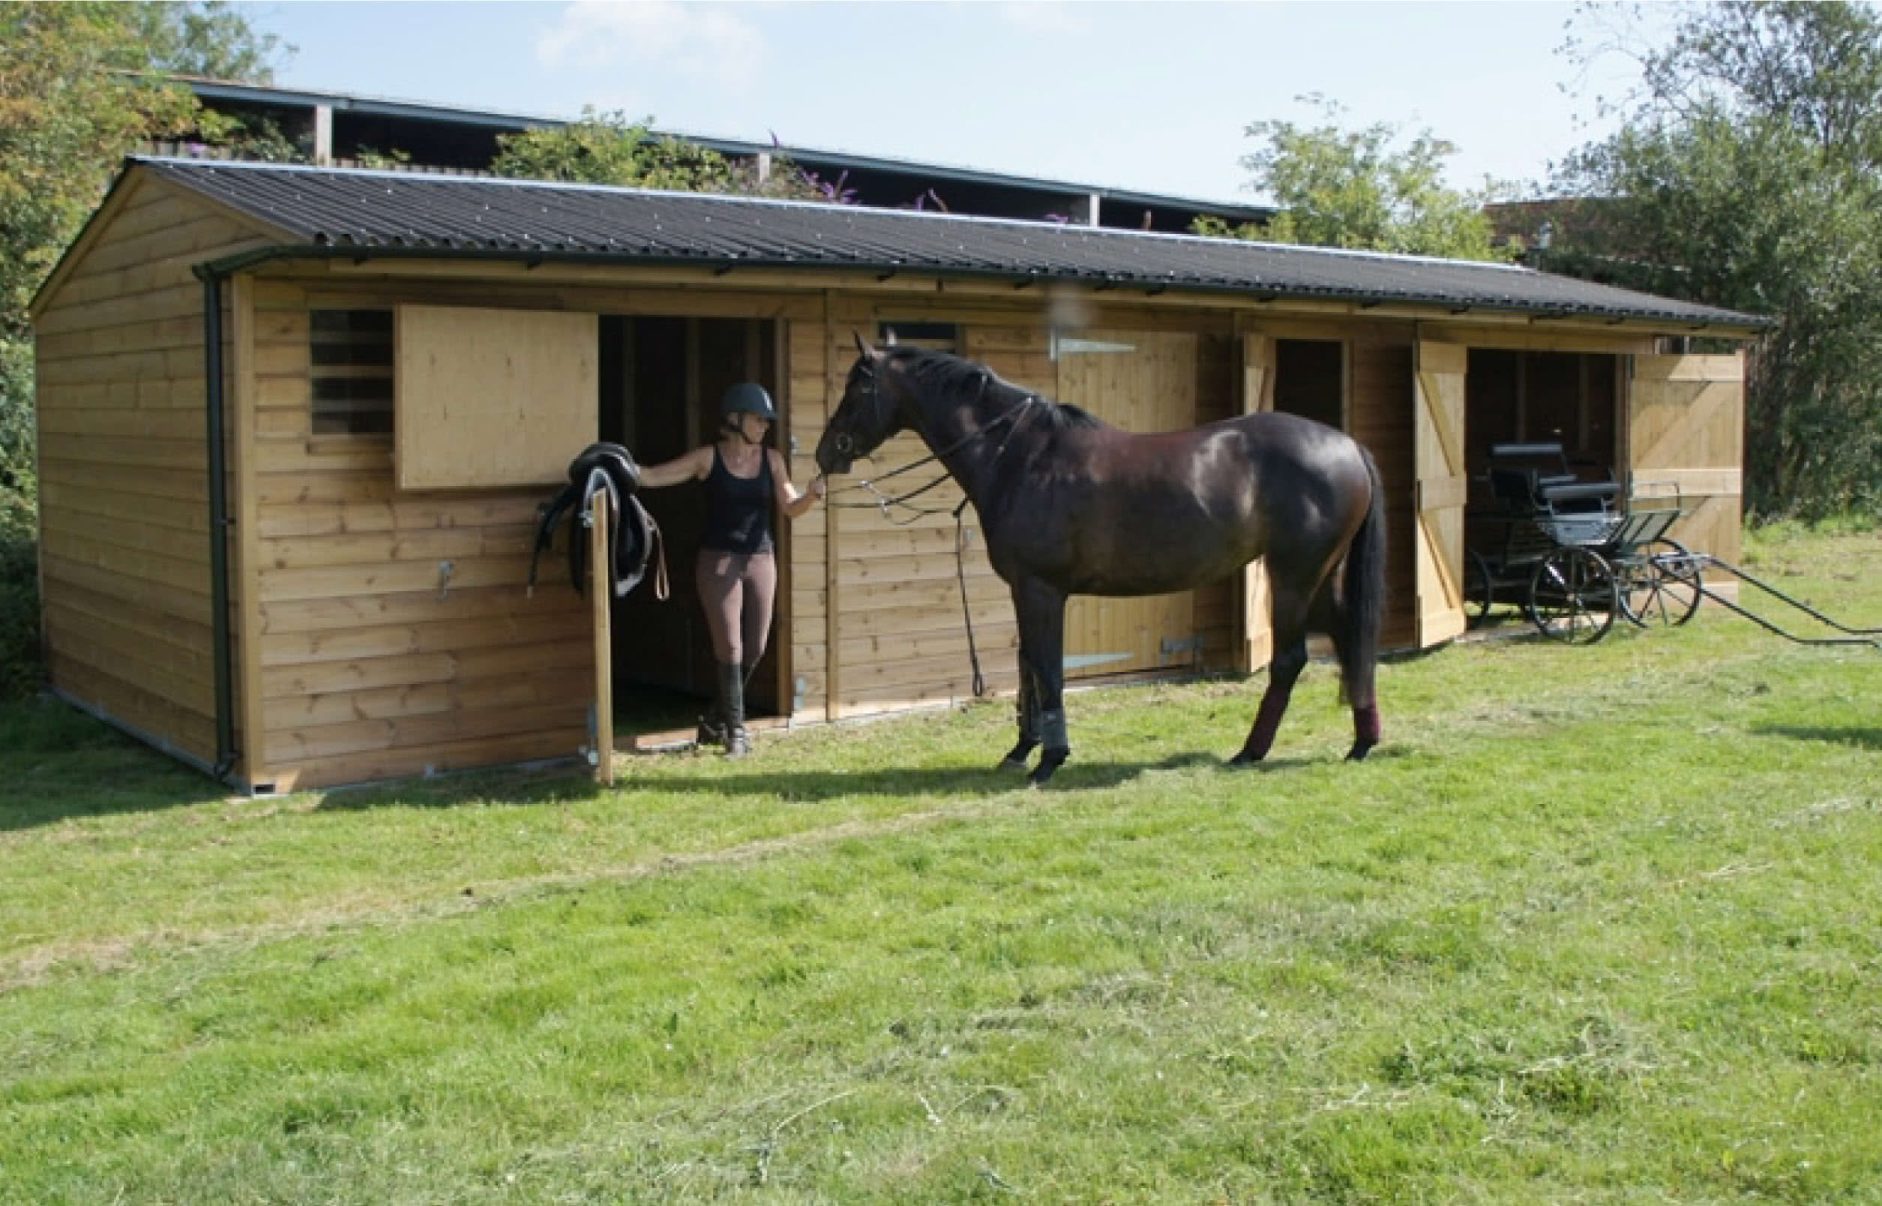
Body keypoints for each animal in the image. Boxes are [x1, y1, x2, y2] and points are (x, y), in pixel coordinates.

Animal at [814, 335, 1386, 786]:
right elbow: (1028, 665)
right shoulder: (1025, 589)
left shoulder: (1041, 589)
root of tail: (1348, 446)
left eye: (857, 387)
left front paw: (1050, 759)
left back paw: (1251, 751)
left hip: (1293, 577)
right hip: (1321, 577)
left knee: (1290, 661)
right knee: (1349, 639)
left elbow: (1047, 668)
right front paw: (1021, 750)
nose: (825, 452)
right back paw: (1360, 743)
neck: (1020, 454)